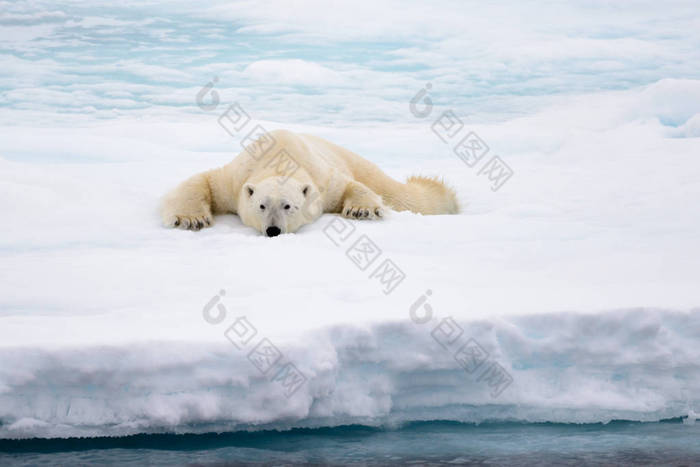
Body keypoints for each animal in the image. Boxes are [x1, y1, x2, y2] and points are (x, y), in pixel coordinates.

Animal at [162, 129, 462, 236]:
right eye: (261, 206)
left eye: (289, 206)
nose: (273, 230)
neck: (277, 157)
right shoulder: (235, 179)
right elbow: (204, 181)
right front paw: (192, 219)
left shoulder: (323, 179)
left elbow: (348, 186)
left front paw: (360, 210)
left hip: (355, 161)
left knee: (403, 194)